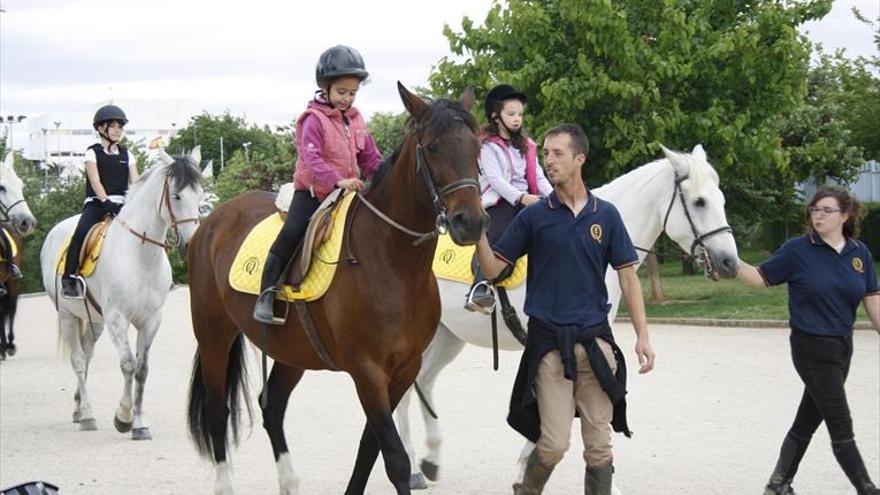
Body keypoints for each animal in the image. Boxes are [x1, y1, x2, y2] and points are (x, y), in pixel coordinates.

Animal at [40, 146, 204, 438]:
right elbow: (128, 364)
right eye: (176, 195)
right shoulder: (118, 318)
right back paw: (87, 415)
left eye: (200, 196)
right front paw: (123, 418)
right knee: (78, 361)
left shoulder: (151, 320)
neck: (141, 255)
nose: (190, 245)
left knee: (87, 355)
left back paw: (78, 408)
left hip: (93, 319)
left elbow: (142, 370)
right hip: (67, 315)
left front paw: (139, 424)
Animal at [187, 83, 488, 494]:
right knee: (218, 412)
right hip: (214, 335)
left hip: (290, 352)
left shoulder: (404, 369)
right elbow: (394, 458)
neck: (391, 263)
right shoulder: (367, 371)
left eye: (476, 147)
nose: (470, 222)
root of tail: (210, 221)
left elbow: (370, 447)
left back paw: (289, 482)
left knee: (272, 406)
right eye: (433, 147)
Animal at [400, 144, 744, 492]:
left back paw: (430, 461)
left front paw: (525, 471)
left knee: (423, 381)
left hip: (448, 336)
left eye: (722, 200)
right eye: (700, 201)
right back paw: (411, 468)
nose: (730, 262)